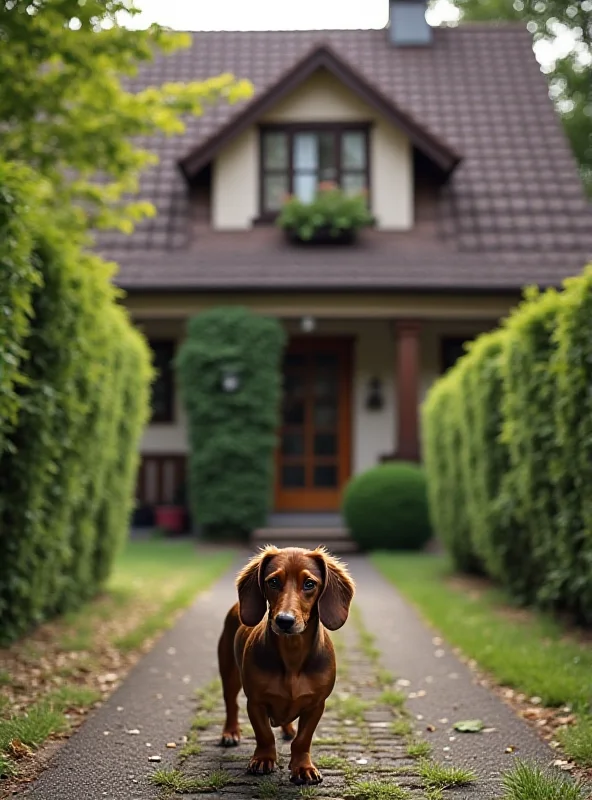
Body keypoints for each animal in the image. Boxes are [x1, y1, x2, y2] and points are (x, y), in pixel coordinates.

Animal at [217, 544, 356, 780]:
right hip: (229, 674)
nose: (284, 621)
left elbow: (303, 739)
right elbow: (264, 734)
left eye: (309, 583)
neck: (293, 654)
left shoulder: (316, 704)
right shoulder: (255, 702)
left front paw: (303, 767)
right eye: (273, 581)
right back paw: (231, 732)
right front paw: (263, 759)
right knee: (231, 703)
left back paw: (288, 729)